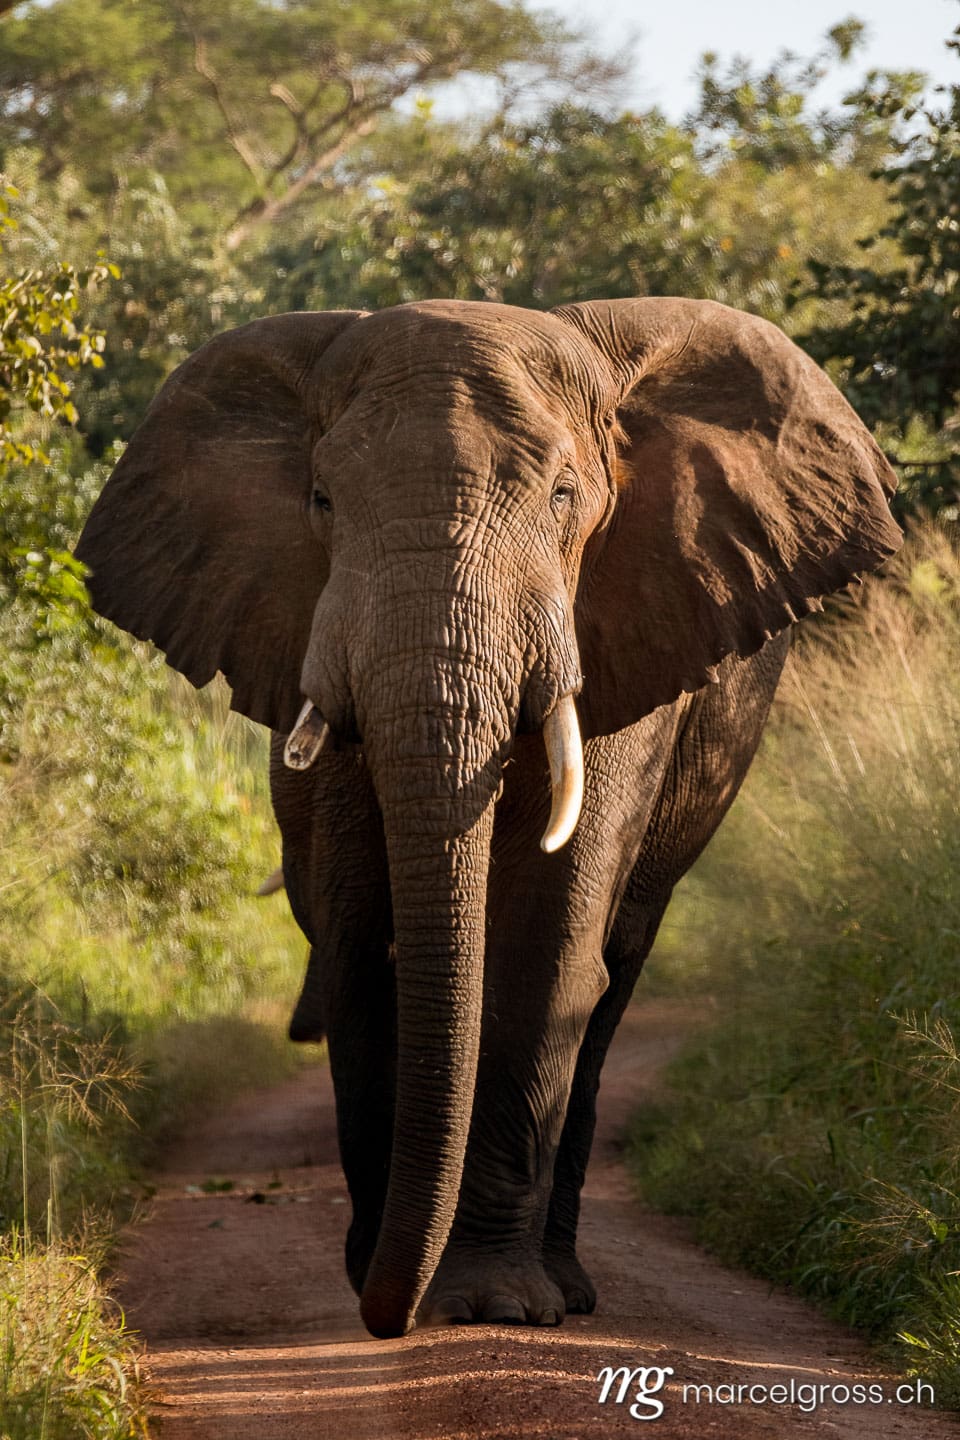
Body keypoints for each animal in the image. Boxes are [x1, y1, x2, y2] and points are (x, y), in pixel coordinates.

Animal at [75, 296, 901, 1340]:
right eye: (322, 502)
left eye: (564, 496)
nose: (386, 1316)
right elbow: (360, 940)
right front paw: (389, 1280)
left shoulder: (621, 638)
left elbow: (544, 953)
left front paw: (492, 1303)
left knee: (612, 978)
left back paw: (565, 1290)